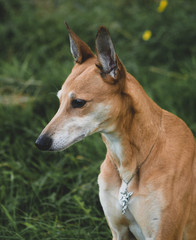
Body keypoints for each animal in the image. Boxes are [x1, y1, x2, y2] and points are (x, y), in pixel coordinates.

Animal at [35, 24, 196, 240]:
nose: (40, 142)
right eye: (59, 100)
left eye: (78, 102)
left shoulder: (164, 234)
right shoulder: (119, 231)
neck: (129, 165)